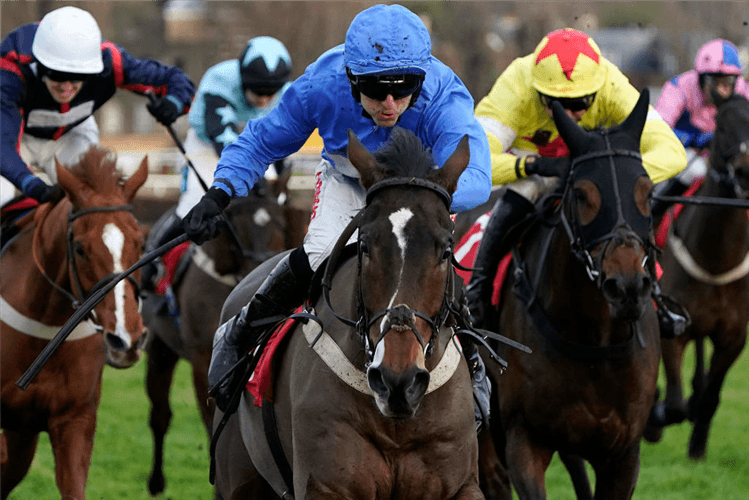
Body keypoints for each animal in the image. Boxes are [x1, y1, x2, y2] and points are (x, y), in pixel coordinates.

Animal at [142, 173, 308, 496]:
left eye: (281, 223)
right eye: (238, 224)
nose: (262, 263)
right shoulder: (201, 358)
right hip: (159, 348)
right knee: (160, 415)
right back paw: (155, 481)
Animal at [212, 129, 486, 500]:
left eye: (446, 250)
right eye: (366, 245)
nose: (396, 381)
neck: (396, 425)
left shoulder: (459, 483)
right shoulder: (327, 485)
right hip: (239, 479)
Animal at [482, 91, 656, 500]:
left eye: (648, 191)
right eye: (581, 194)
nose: (627, 287)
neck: (593, 342)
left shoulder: (623, 453)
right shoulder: (524, 439)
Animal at [644, 93, 748, 458]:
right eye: (722, 125)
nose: (745, 170)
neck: (716, 261)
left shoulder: (733, 337)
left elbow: (709, 398)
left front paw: (698, 445)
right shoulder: (675, 330)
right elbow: (675, 405)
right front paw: (655, 419)